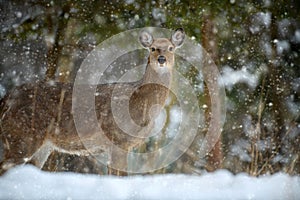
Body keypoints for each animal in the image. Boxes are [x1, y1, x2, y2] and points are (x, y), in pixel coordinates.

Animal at [0, 28, 185, 175]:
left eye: (171, 48)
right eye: (153, 48)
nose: (162, 59)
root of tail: (6, 99)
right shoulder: (118, 139)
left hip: (41, 144)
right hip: (23, 134)